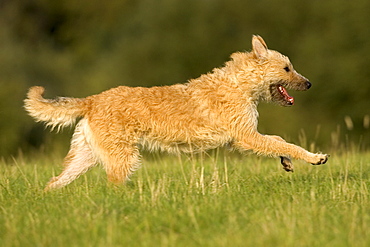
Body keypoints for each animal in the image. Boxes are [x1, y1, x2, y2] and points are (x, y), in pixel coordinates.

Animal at [24, 34, 328, 190]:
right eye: (287, 68)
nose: (310, 84)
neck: (240, 84)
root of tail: (92, 100)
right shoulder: (245, 136)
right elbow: (285, 142)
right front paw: (314, 158)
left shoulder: (245, 135)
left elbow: (278, 140)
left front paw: (287, 162)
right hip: (123, 157)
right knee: (112, 186)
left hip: (85, 156)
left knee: (55, 182)